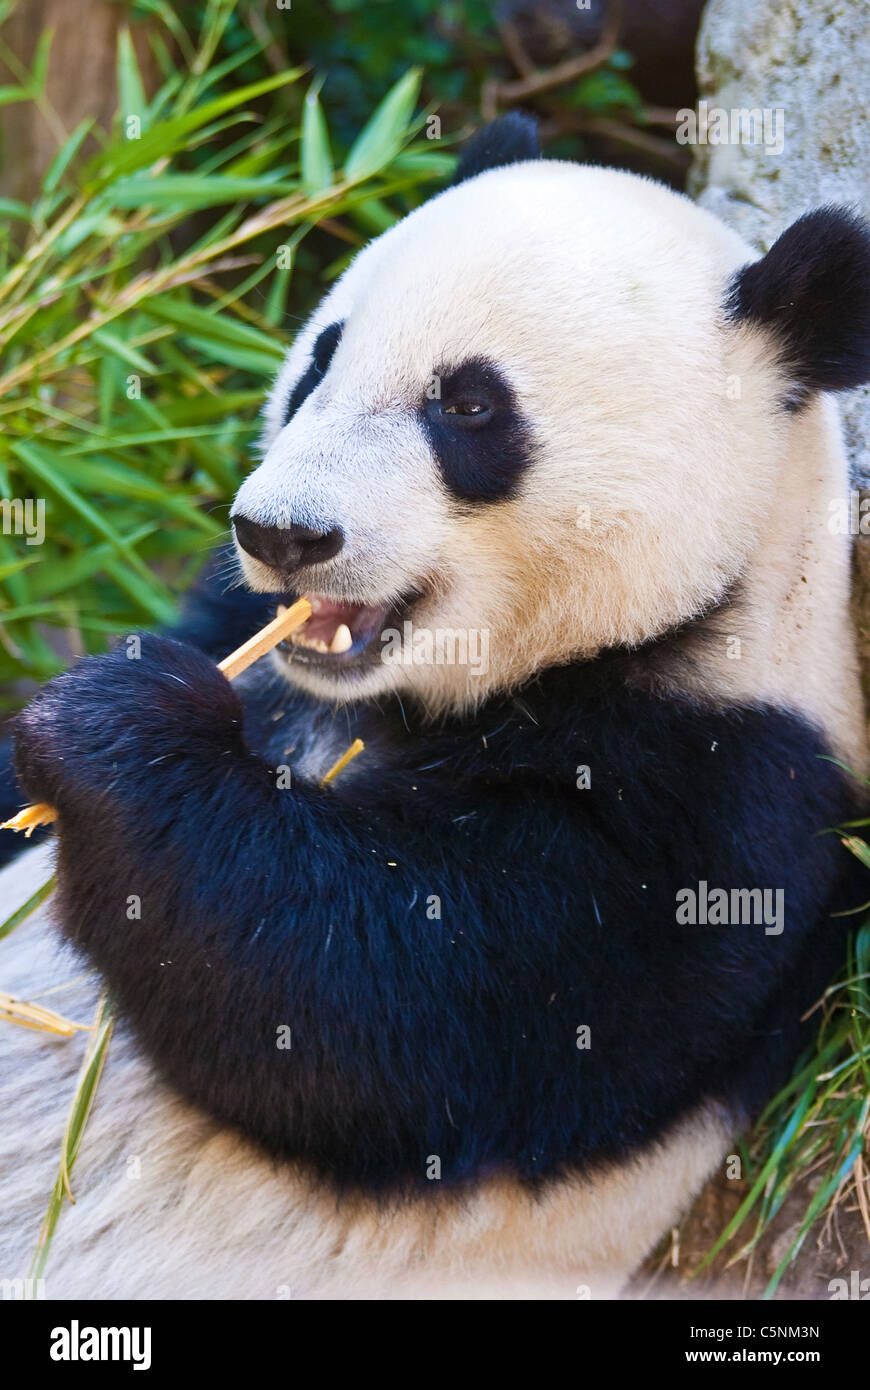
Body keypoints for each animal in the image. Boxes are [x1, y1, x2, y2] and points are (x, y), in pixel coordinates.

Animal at [1, 111, 867, 1301]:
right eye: (320, 359)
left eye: (468, 405)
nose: (283, 533)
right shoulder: (239, 632)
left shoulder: (721, 797)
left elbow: (370, 1002)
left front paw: (113, 727)